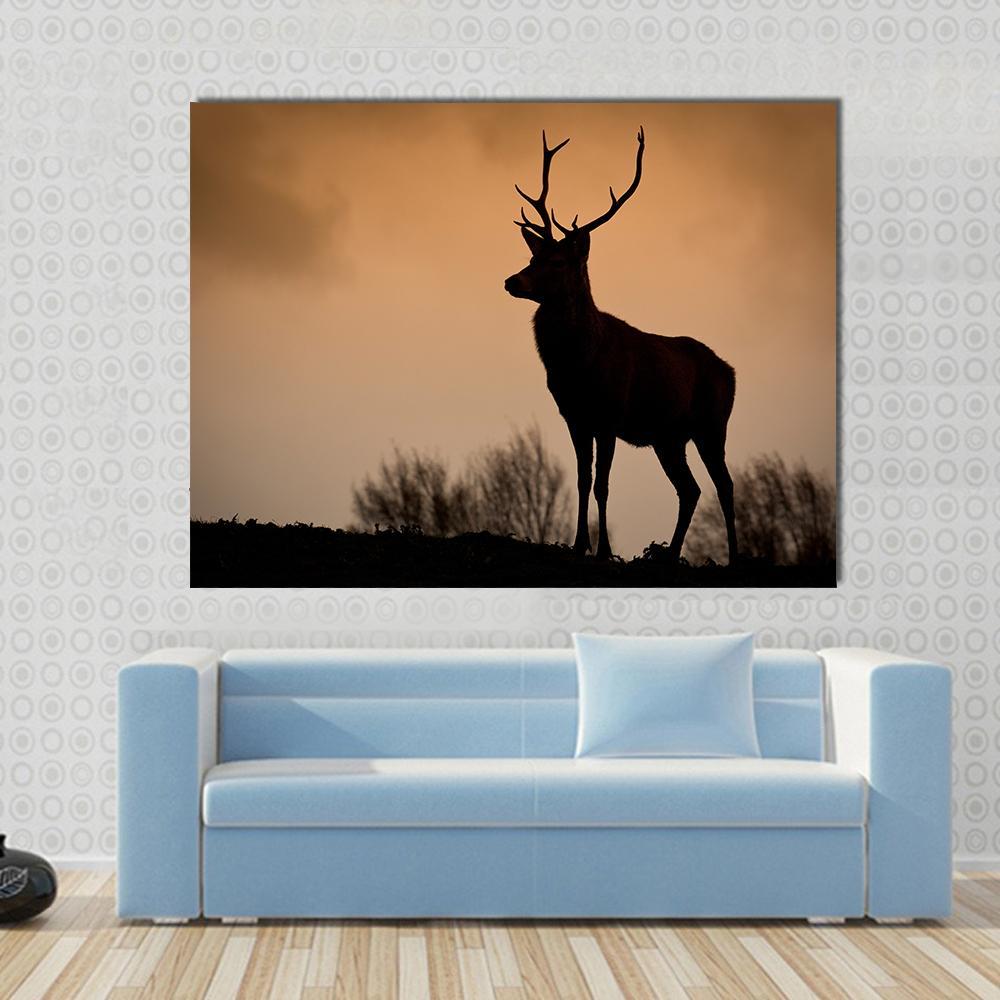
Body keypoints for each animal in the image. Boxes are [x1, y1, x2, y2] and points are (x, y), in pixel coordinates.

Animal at [504, 127, 738, 565]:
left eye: (558, 262)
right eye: (533, 256)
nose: (512, 280)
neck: (579, 364)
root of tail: (730, 371)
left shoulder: (610, 414)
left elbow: (603, 484)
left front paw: (603, 551)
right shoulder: (574, 416)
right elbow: (582, 480)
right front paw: (579, 545)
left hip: (712, 424)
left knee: (724, 485)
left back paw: (734, 557)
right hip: (669, 437)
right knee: (690, 489)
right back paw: (669, 554)